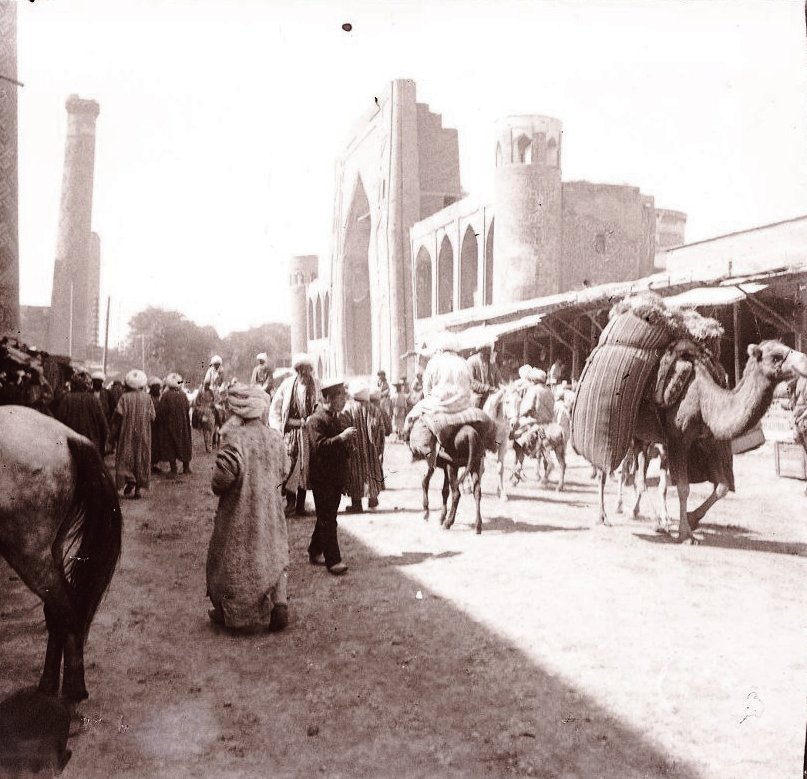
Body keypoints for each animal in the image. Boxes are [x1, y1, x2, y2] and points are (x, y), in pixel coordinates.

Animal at [0, 406, 121, 704]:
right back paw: (49, 685)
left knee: (64, 607)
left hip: (28, 548)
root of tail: (68, 436)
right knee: (56, 609)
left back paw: (74, 690)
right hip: (51, 546)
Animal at [576, 296, 807, 544]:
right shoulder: (678, 439)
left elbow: (721, 486)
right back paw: (607, 516)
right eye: (776, 356)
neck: (706, 401)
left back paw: (645, 515)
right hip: (622, 426)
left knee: (638, 474)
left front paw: (691, 518)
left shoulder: (706, 440)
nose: (804, 361)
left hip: (642, 435)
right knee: (610, 468)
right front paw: (685, 533)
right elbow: (683, 487)